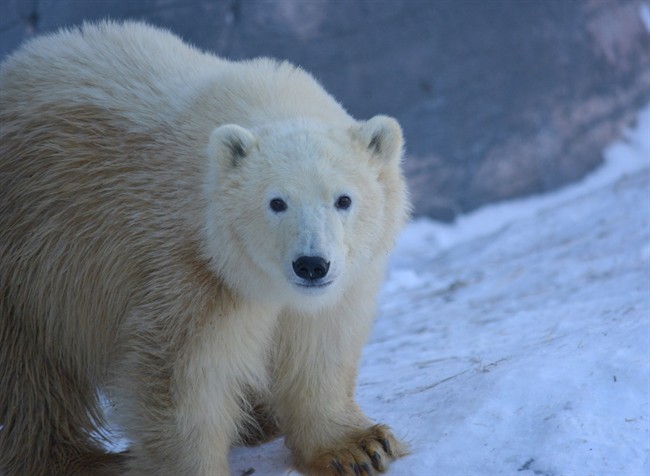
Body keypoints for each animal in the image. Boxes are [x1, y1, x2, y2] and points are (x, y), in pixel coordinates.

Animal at [0, 21, 409, 476]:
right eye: (276, 202)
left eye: (343, 199)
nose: (311, 265)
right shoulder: (185, 266)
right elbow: (184, 378)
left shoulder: (336, 286)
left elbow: (318, 345)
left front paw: (359, 448)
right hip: (30, 264)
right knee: (28, 379)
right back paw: (80, 461)